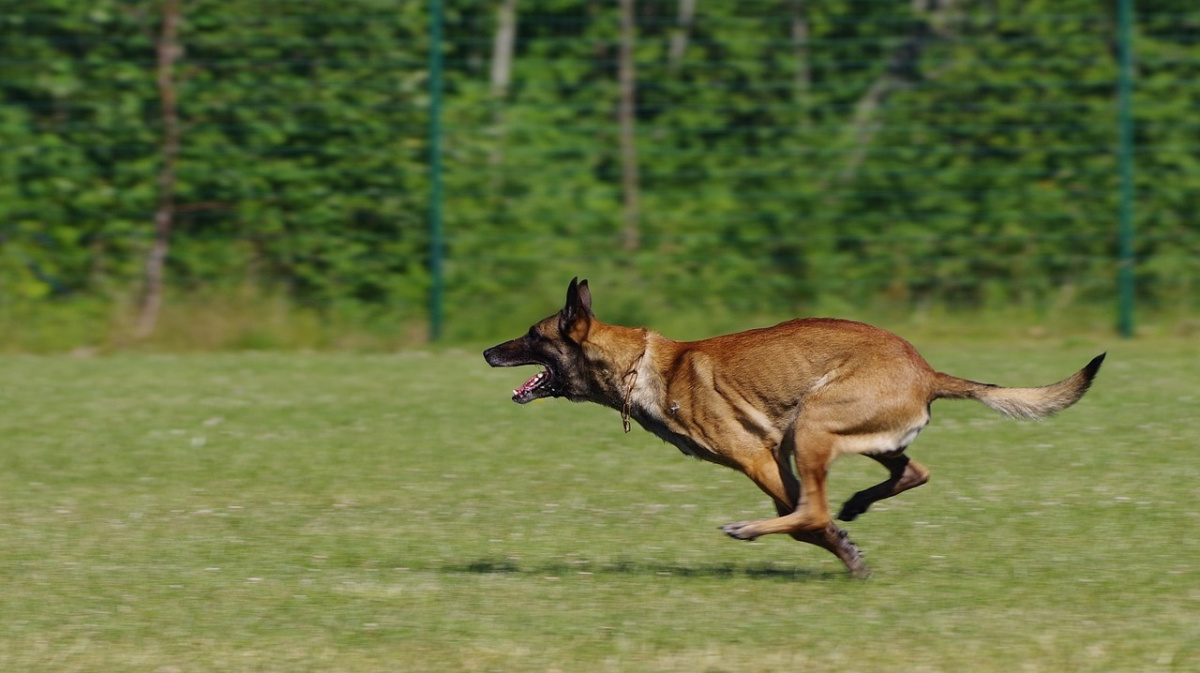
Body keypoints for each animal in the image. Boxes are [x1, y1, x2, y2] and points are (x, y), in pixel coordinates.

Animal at [482, 278, 1099, 578]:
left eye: (532, 334)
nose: (488, 351)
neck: (643, 365)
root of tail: (926, 371)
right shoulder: (777, 461)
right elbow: (808, 517)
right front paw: (847, 546)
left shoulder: (759, 458)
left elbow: (807, 521)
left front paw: (843, 552)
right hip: (848, 436)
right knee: (911, 471)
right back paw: (857, 506)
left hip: (813, 425)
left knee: (818, 509)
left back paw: (755, 529)